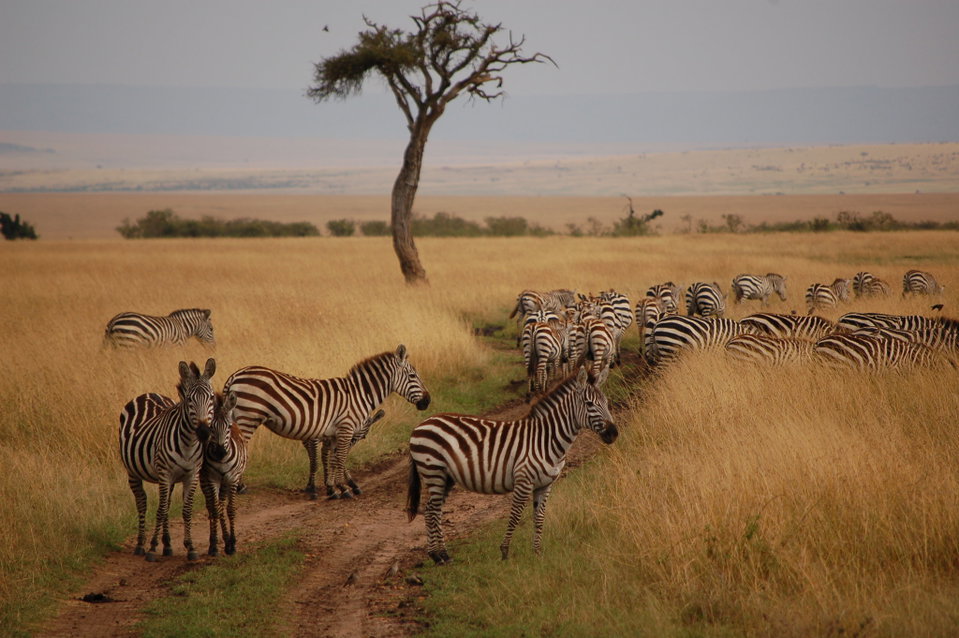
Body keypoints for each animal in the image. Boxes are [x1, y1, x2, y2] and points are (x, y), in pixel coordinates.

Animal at [118, 358, 217, 561]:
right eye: (189, 400)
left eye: (211, 398)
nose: (204, 432)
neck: (188, 443)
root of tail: (148, 393)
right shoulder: (165, 473)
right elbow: (161, 509)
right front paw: (152, 548)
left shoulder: (191, 475)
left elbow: (185, 510)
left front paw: (190, 547)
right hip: (133, 471)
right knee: (142, 502)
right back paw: (141, 544)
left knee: (167, 503)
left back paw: (168, 545)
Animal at [200, 391, 248, 557]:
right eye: (211, 427)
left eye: (228, 427)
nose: (220, 452)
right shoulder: (212, 479)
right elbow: (215, 509)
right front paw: (214, 546)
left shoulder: (232, 479)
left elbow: (230, 509)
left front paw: (232, 543)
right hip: (205, 480)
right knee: (212, 506)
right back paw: (217, 541)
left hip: (226, 481)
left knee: (222, 504)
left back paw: (227, 541)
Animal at [222, 345, 431, 500]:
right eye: (413, 376)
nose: (428, 401)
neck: (359, 394)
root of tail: (235, 375)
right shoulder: (346, 427)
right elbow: (340, 457)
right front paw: (343, 489)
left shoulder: (333, 433)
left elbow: (332, 458)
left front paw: (333, 488)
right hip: (248, 416)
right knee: (239, 448)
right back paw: (240, 486)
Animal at [407, 368, 617, 564]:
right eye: (589, 404)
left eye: (606, 402)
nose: (614, 434)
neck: (546, 439)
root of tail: (422, 424)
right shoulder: (524, 481)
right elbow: (515, 515)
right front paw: (505, 551)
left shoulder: (545, 485)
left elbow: (539, 518)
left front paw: (537, 553)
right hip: (433, 471)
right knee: (433, 511)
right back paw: (440, 555)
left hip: (446, 477)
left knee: (431, 510)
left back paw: (439, 555)